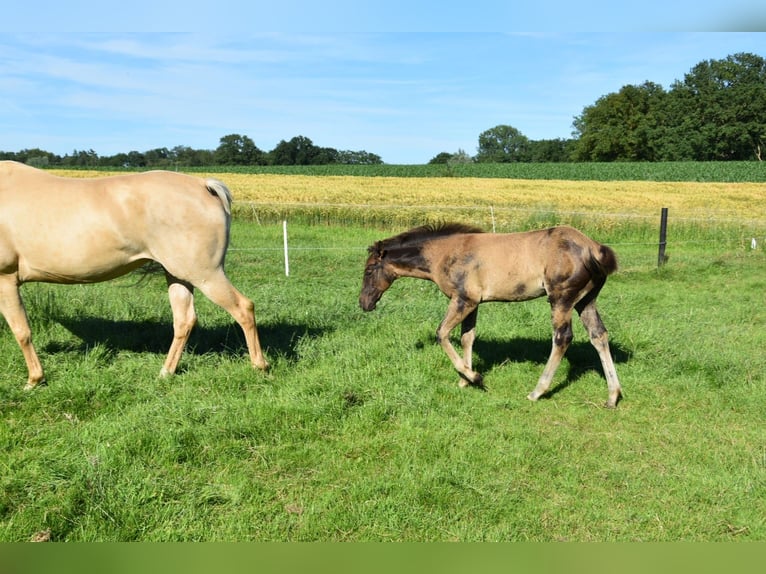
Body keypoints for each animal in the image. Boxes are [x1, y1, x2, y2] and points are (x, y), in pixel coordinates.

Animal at [0, 161, 268, 390]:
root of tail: (204, 185)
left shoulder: (6, 280)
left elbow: (21, 331)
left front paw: (34, 380)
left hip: (206, 275)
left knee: (244, 308)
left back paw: (260, 366)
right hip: (178, 276)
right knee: (184, 320)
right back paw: (165, 372)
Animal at [359, 222, 622, 407]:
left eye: (370, 270)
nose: (364, 303)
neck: (444, 253)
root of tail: (593, 248)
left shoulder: (463, 299)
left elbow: (442, 333)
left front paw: (474, 377)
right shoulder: (473, 303)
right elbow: (467, 337)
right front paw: (464, 379)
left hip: (561, 299)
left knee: (562, 338)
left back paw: (537, 391)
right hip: (585, 301)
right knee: (599, 335)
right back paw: (613, 395)